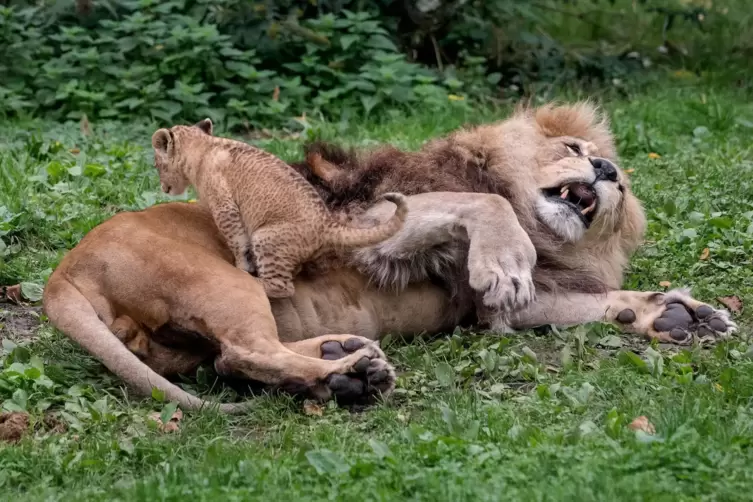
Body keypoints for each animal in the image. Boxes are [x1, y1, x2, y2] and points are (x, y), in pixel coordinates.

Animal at [41, 101, 736, 412]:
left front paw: (680, 315)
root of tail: (63, 274)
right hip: (224, 282)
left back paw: (343, 366)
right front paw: (504, 258)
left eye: (622, 190)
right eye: (573, 147)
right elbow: (485, 205)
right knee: (243, 353)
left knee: (229, 359)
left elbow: (588, 302)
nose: (608, 170)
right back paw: (350, 372)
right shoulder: (370, 221)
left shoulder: (488, 308)